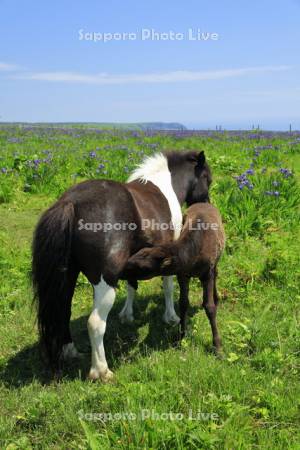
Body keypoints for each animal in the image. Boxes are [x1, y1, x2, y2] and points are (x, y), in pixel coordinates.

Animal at [32, 150, 211, 380]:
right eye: (206, 178)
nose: (206, 203)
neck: (164, 185)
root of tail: (71, 202)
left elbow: (132, 286)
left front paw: (127, 315)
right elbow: (168, 286)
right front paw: (171, 317)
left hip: (68, 276)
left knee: (63, 311)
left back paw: (70, 350)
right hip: (104, 282)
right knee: (95, 323)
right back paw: (101, 371)